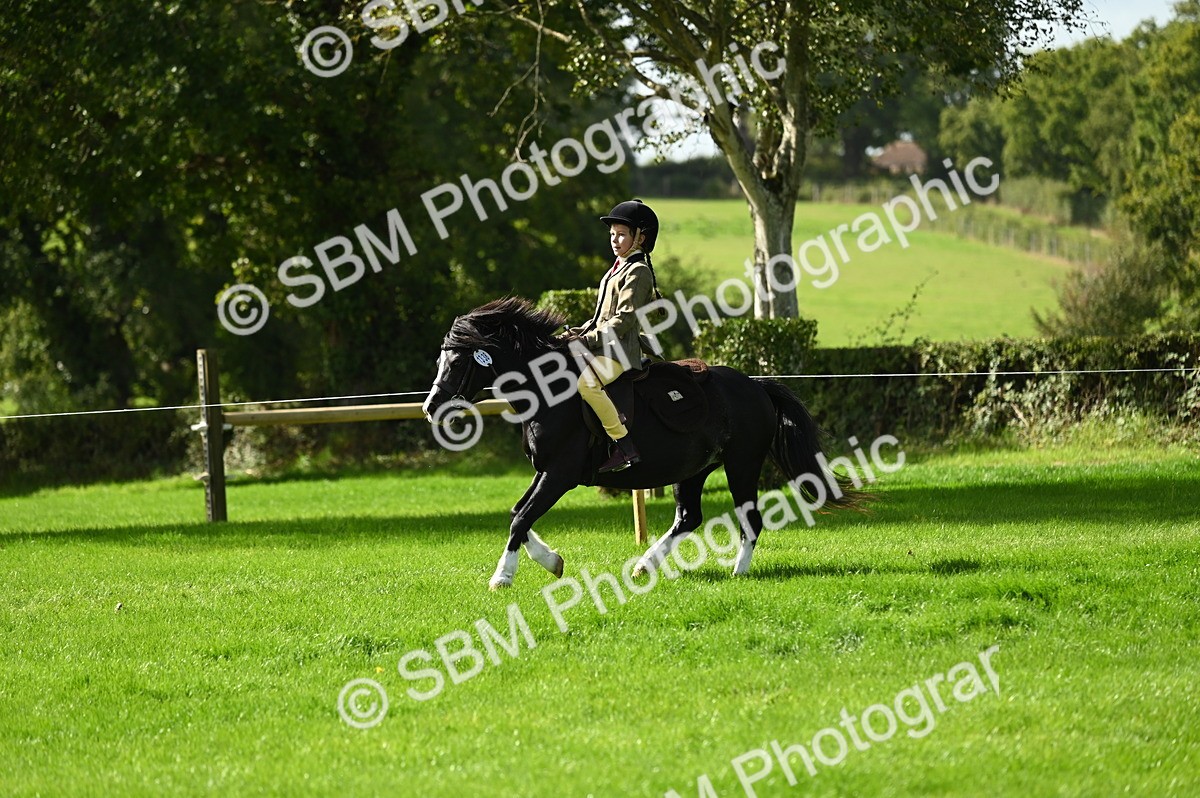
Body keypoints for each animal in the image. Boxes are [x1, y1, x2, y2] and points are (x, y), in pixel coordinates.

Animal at [421, 297, 863, 589]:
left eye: (457, 361)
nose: (430, 407)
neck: (548, 392)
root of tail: (756, 385)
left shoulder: (559, 474)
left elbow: (520, 518)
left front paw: (503, 577)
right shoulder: (545, 471)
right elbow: (519, 514)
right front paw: (553, 562)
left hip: (742, 464)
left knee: (749, 520)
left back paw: (738, 573)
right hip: (695, 469)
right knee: (688, 518)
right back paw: (644, 567)